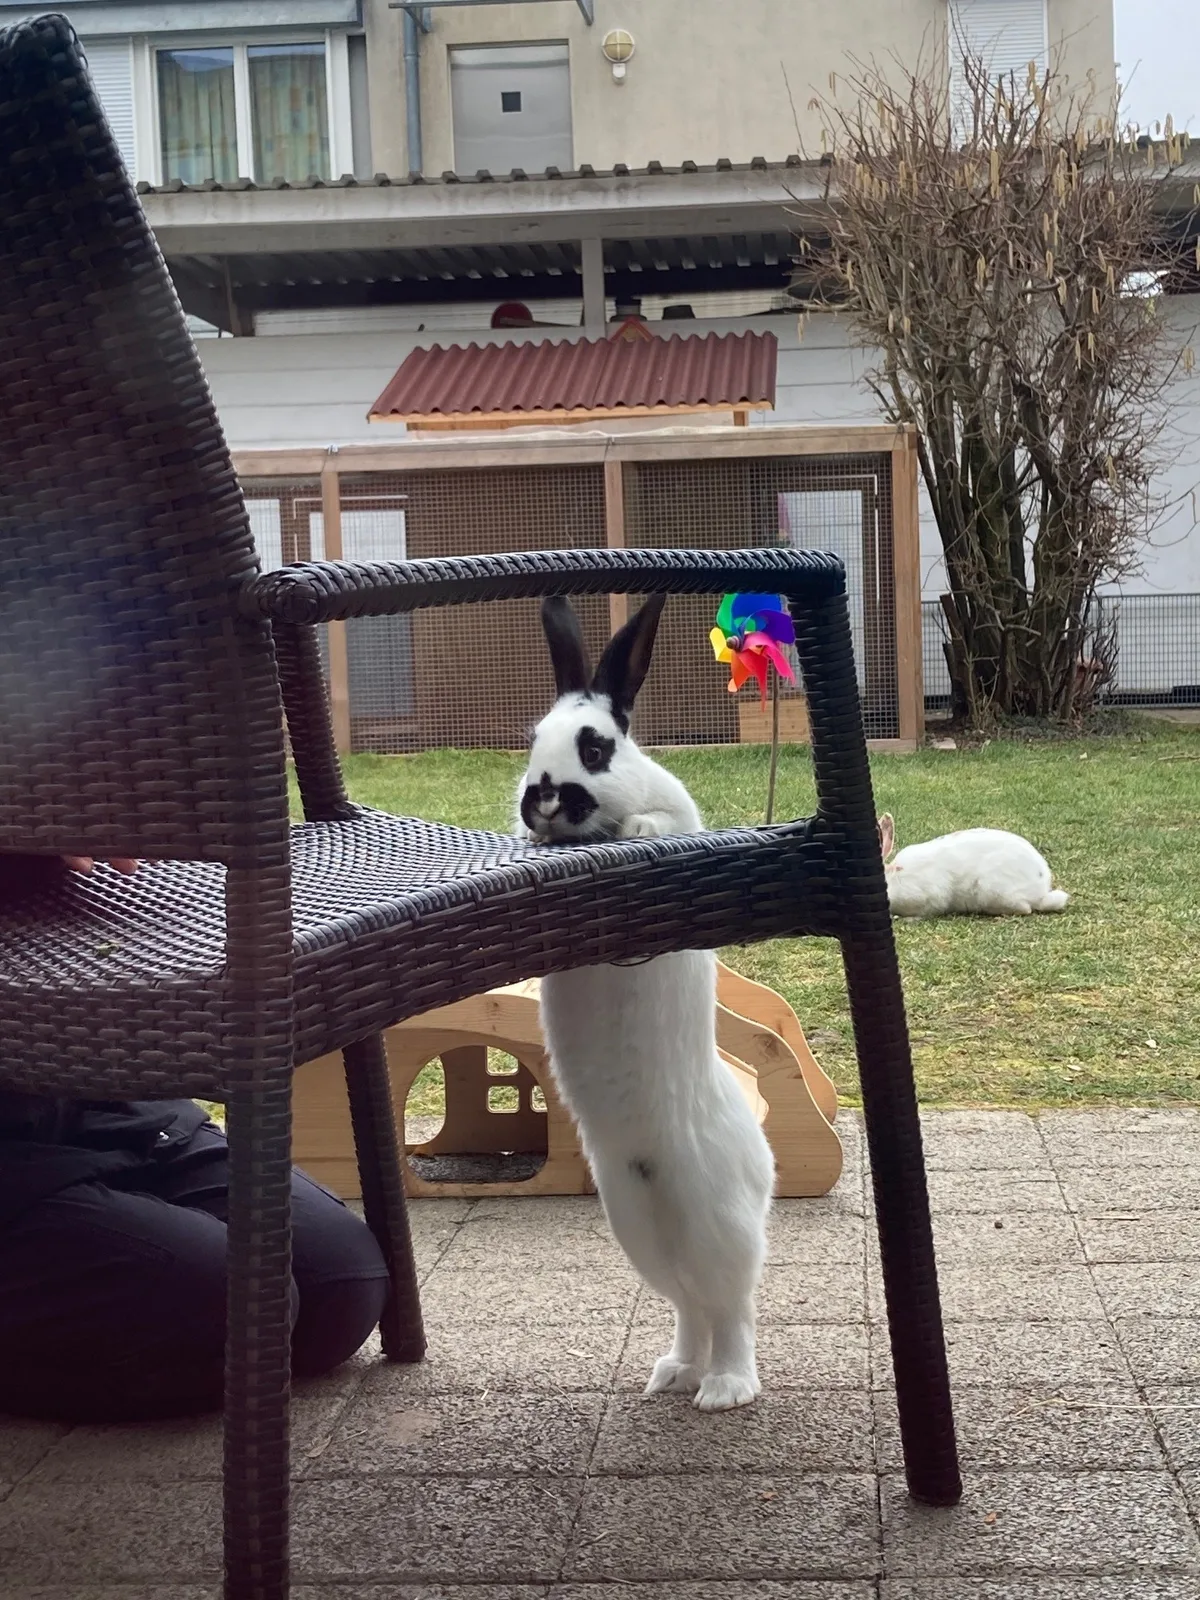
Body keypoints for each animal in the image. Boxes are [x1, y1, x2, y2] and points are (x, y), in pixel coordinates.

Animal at [517, 594, 775, 1411]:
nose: (542, 798)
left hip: (715, 1218)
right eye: (532, 742)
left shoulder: (676, 824)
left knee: (732, 1309)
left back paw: (725, 1389)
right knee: (691, 1306)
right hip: (637, 1227)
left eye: (596, 748)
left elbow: (653, 827)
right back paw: (673, 1373)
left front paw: (631, 826)